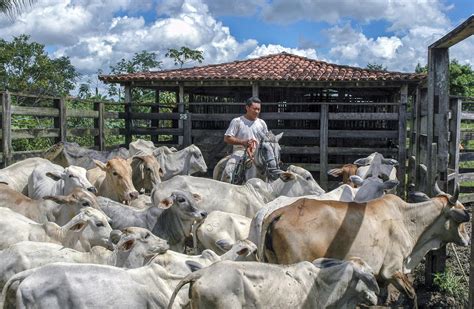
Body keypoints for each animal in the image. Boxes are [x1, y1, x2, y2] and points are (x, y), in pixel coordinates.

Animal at [262, 184, 468, 304]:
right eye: (460, 218)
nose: (467, 239)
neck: (406, 218)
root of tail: (278, 214)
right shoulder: (392, 270)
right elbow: (412, 294)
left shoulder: (381, 279)